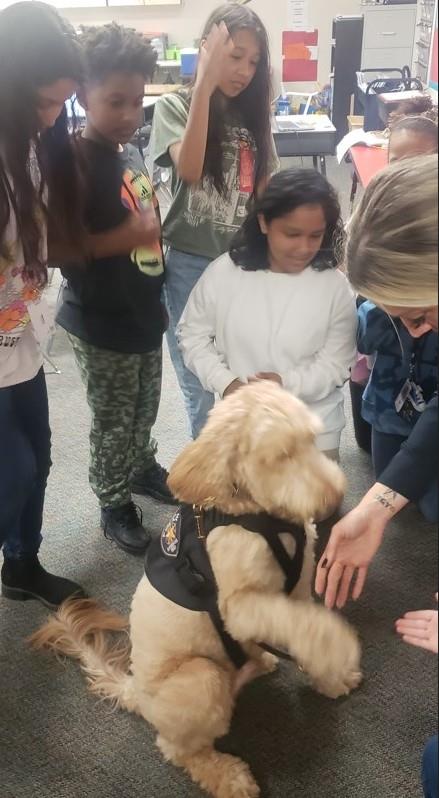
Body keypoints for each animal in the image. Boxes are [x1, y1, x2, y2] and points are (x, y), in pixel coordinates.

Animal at [30, 382, 360, 798]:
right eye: (282, 455)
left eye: (313, 440)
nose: (334, 495)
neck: (254, 512)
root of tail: (136, 691)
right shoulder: (239, 606)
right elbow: (311, 627)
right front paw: (340, 650)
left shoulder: (297, 587)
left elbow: (307, 628)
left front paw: (330, 677)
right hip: (202, 679)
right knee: (178, 749)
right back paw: (227, 775)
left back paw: (261, 661)